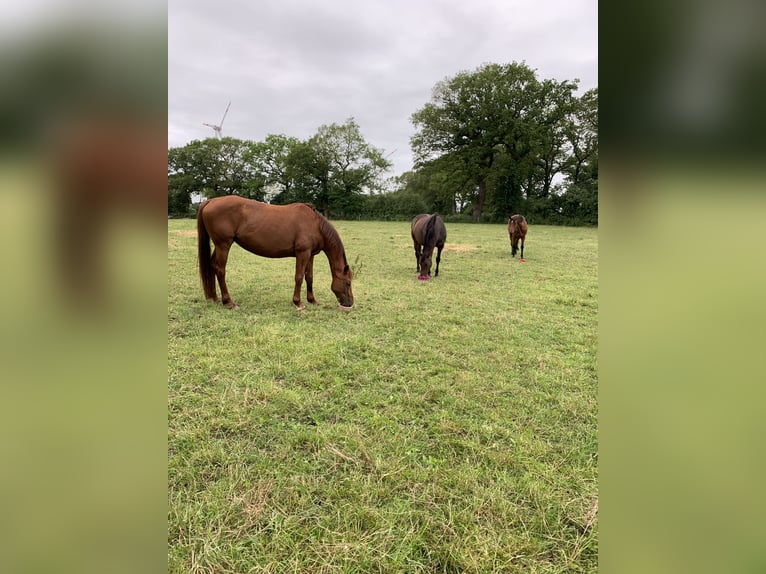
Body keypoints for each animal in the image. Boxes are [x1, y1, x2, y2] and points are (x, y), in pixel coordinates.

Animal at [196, 195, 354, 310]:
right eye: (347, 283)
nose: (350, 303)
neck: (315, 225)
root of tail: (210, 201)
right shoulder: (302, 253)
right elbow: (299, 277)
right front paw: (298, 303)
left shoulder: (311, 255)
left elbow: (309, 277)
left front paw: (312, 300)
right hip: (223, 245)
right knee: (220, 269)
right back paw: (229, 302)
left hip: (219, 246)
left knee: (213, 266)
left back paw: (215, 298)